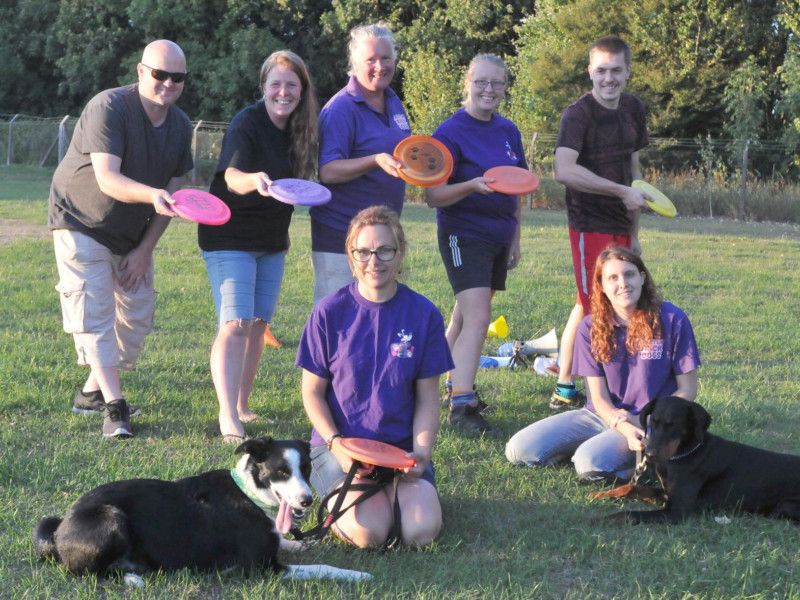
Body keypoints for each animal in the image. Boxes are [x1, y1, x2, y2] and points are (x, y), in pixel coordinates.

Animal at [31, 438, 368, 584]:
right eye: (282, 472)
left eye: (307, 469)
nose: (307, 501)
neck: (250, 494)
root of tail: (59, 529)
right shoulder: (261, 567)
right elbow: (323, 567)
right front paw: (358, 574)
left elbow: (289, 542)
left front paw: (299, 542)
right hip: (111, 517)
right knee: (85, 572)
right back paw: (132, 578)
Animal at [604, 396, 800, 524]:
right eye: (654, 421)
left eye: (673, 425)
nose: (649, 454)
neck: (683, 454)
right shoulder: (666, 493)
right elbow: (631, 487)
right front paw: (603, 493)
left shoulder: (676, 511)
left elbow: (629, 514)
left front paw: (600, 519)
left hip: (785, 507)